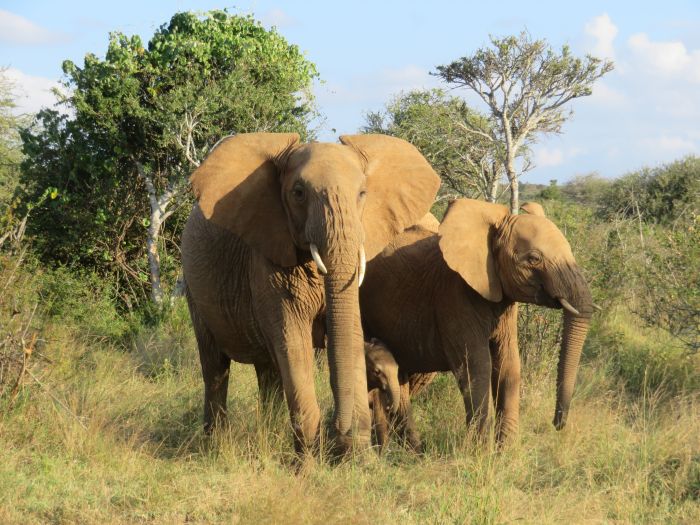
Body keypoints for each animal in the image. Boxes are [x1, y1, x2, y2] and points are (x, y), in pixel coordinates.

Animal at [183, 132, 440, 454]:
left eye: (362, 194)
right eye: (298, 193)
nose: (340, 429)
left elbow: (348, 333)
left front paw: (356, 453)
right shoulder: (266, 254)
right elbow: (293, 341)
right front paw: (311, 457)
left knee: (268, 370)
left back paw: (270, 437)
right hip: (193, 287)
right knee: (215, 365)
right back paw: (214, 446)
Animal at [360, 199, 596, 444]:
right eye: (533, 259)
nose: (558, 423)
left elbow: (508, 364)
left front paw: (506, 450)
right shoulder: (454, 295)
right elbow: (477, 366)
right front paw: (479, 449)